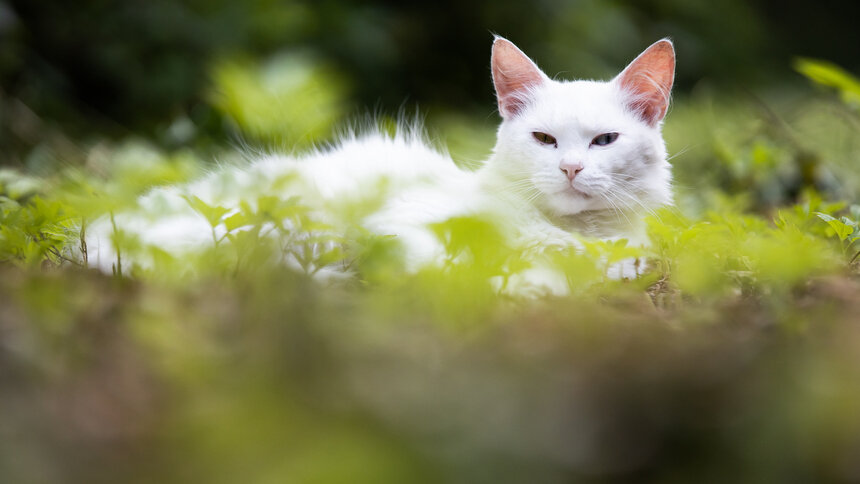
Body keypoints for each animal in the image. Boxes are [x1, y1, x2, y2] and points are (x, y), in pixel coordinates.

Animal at [87, 36, 680, 294]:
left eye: (604, 140)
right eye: (544, 140)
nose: (572, 169)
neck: (573, 235)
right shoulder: (404, 230)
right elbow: (456, 270)